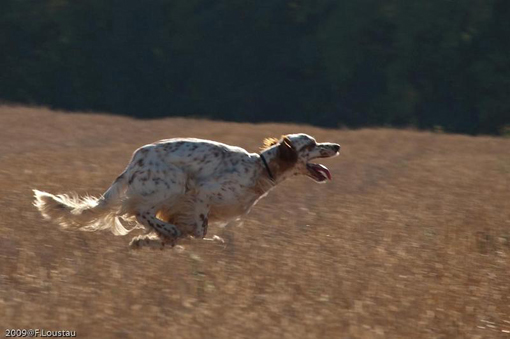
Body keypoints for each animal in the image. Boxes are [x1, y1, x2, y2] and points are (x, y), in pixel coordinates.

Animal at [33, 135, 340, 250]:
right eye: (311, 144)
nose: (336, 145)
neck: (259, 169)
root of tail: (135, 160)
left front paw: (152, 242)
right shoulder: (200, 194)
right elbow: (200, 231)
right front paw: (165, 237)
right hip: (173, 182)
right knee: (137, 211)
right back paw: (167, 232)